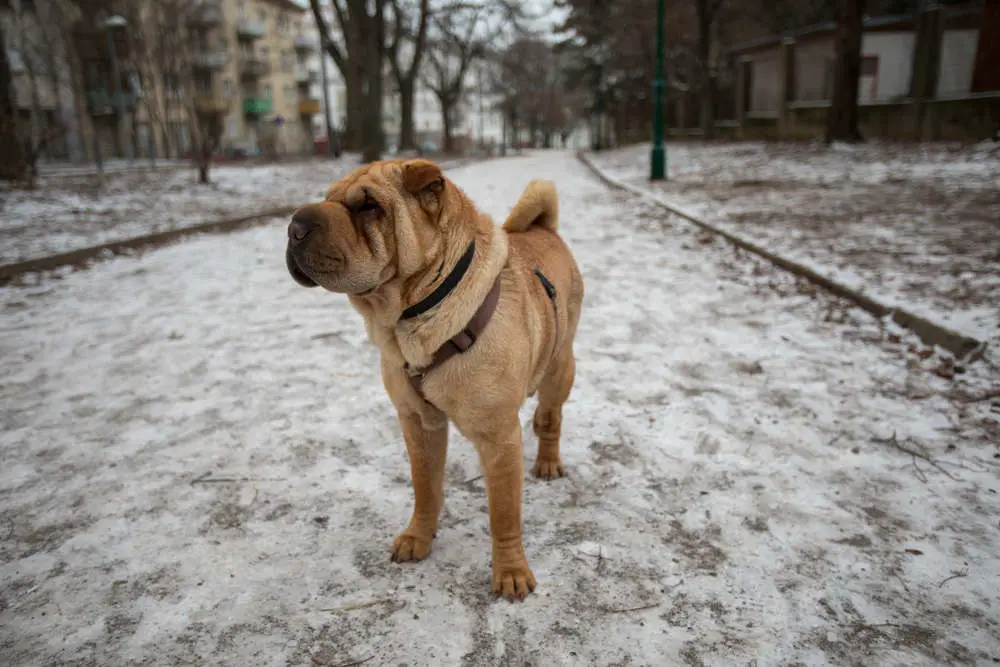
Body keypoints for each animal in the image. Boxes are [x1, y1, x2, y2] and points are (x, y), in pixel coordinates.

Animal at [288, 159, 584, 604]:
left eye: (368, 206)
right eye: (327, 198)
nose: (294, 226)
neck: (417, 317)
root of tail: (543, 229)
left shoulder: (498, 435)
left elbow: (503, 514)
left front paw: (511, 572)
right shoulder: (417, 422)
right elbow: (424, 486)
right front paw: (418, 538)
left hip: (559, 366)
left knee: (550, 417)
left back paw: (548, 462)